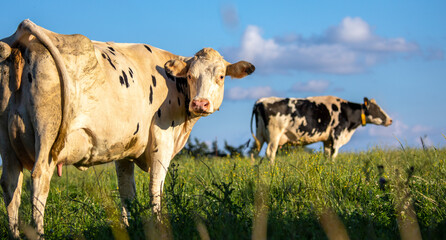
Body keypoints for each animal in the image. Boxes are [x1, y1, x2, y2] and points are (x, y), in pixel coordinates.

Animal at [0, 19, 254, 238]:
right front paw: (159, 226)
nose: (200, 103)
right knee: (39, 178)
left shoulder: (123, 150)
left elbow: (126, 192)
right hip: (47, 137)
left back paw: (15, 235)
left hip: (8, 143)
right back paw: (38, 233)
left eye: (221, 76)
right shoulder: (162, 141)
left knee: (11, 183)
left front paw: (127, 227)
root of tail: (24, 36)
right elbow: (156, 187)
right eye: (190, 75)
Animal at [251, 95, 394, 163]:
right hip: (274, 135)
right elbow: (334, 155)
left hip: (259, 135)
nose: (390, 120)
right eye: (376, 109)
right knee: (270, 153)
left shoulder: (327, 140)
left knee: (253, 153)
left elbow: (327, 156)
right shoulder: (337, 135)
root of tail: (261, 101)